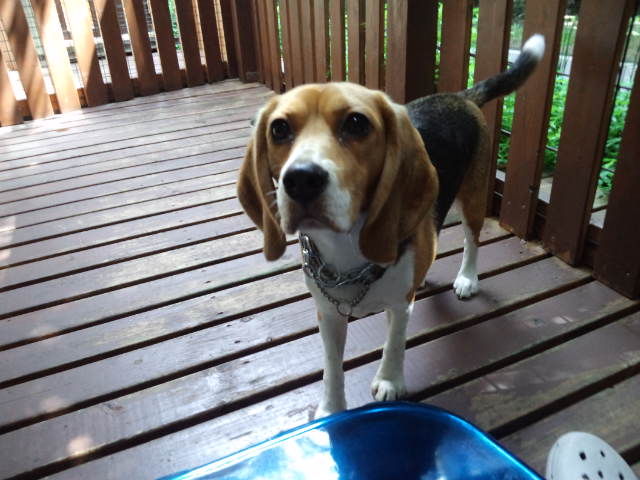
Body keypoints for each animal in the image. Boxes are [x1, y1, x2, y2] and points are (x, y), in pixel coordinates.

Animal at [237, 34, 545, 418]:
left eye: (357, 123)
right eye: (279, 129)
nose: (301, 180)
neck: (348, 250)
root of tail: (460, 96)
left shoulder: (399, 306)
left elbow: (395, 342)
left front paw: (389, 381)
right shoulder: (328, 315)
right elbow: (332, 366)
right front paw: (331, 408)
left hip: (473, 197)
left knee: (472, 240)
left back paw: (467, 278)